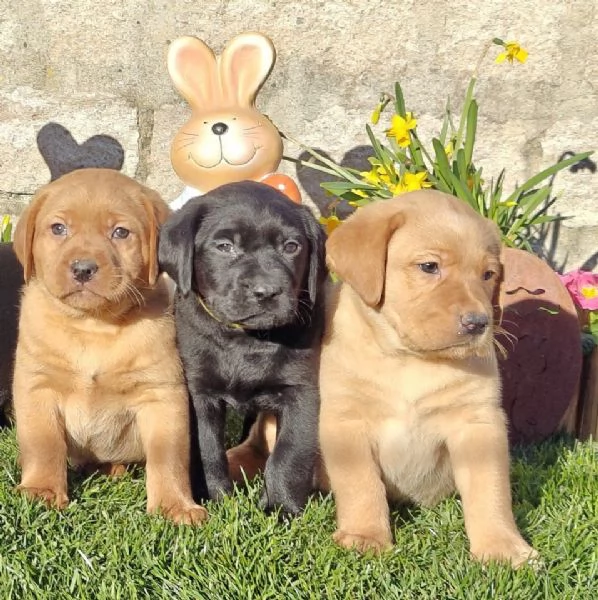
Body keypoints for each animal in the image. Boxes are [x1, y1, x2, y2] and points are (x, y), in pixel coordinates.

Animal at [159, 180, 328, 512]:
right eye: (225, 246)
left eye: (292, 246)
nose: (267, 291)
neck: (245, 339)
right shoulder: (200, 392)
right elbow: (208, 449)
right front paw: (214, 497)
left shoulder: (300, 390)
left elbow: (289, 454)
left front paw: (281, 508)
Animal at [322, 190, 540, 564]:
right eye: (429, 267)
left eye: (488, 274)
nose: (478, 323)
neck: (410, 359)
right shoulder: (345, 420)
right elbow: (360, 484)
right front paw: (365, 536)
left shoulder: (478, 422)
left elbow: (490, 489)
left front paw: (502, 547)